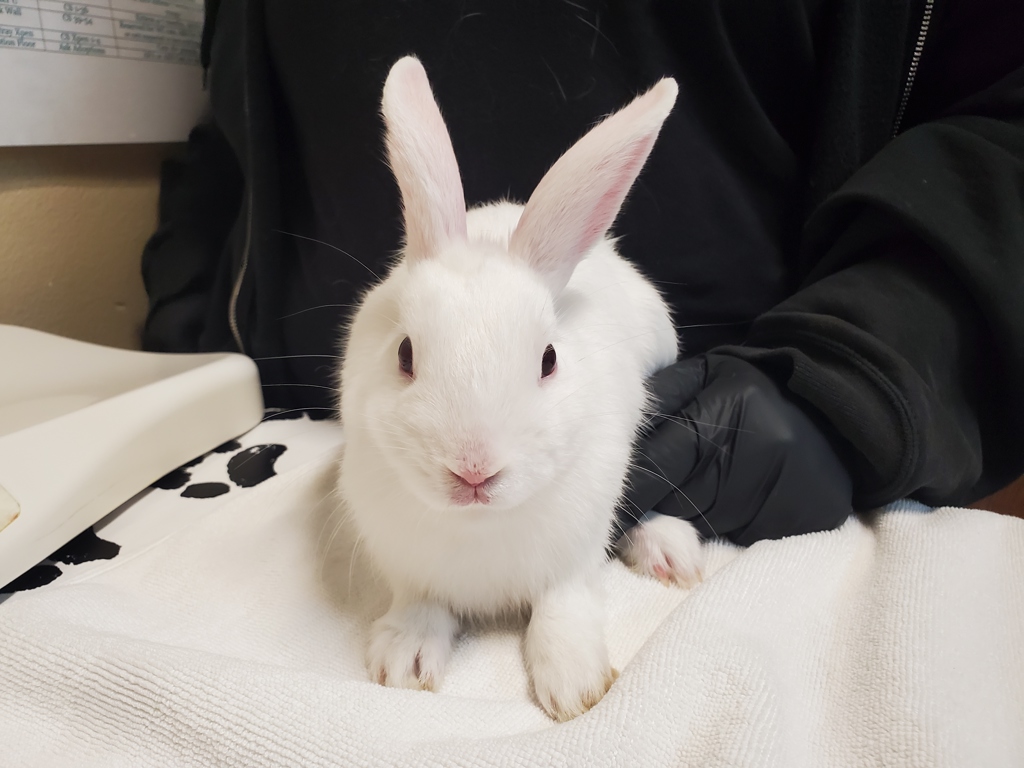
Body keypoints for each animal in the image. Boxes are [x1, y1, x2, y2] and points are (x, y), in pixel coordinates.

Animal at [337, 56, 704, 722]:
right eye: (405, 354)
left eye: (549, 360)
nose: (473, 469)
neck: (481, 525)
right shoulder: (407, 566)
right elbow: (418, 603)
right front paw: (402, 662)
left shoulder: (574, 558)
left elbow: (563, 608)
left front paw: (576, 685)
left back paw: (669, 551)